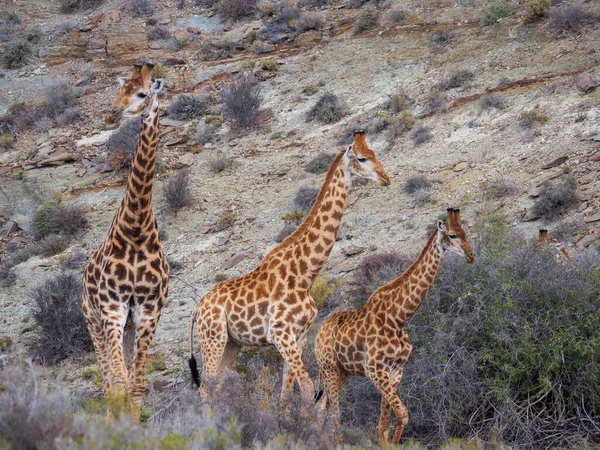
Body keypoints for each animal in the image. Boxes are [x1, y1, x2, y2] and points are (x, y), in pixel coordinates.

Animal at [188, 131, 392, 404]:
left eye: (374, 154)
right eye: (362, 158)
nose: (386, 178)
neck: (305, 275)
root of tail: (198, 307)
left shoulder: (299, 336)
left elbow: (286, 394)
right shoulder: (280, 334)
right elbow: (307, 389)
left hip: (232, 343)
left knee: (216, 386)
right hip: (213, 337)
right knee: (205, 387)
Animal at [316, 209, 476, 444]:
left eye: (465, 232)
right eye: (453, 235)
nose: (471, 256)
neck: (399, 319)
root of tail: (318, 334)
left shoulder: (396, 370)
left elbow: (385, 423)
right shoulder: (375, 370)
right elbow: (402, 414)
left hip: (343, 371)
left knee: (322, 408)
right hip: (330, 368)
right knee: (334, 413)